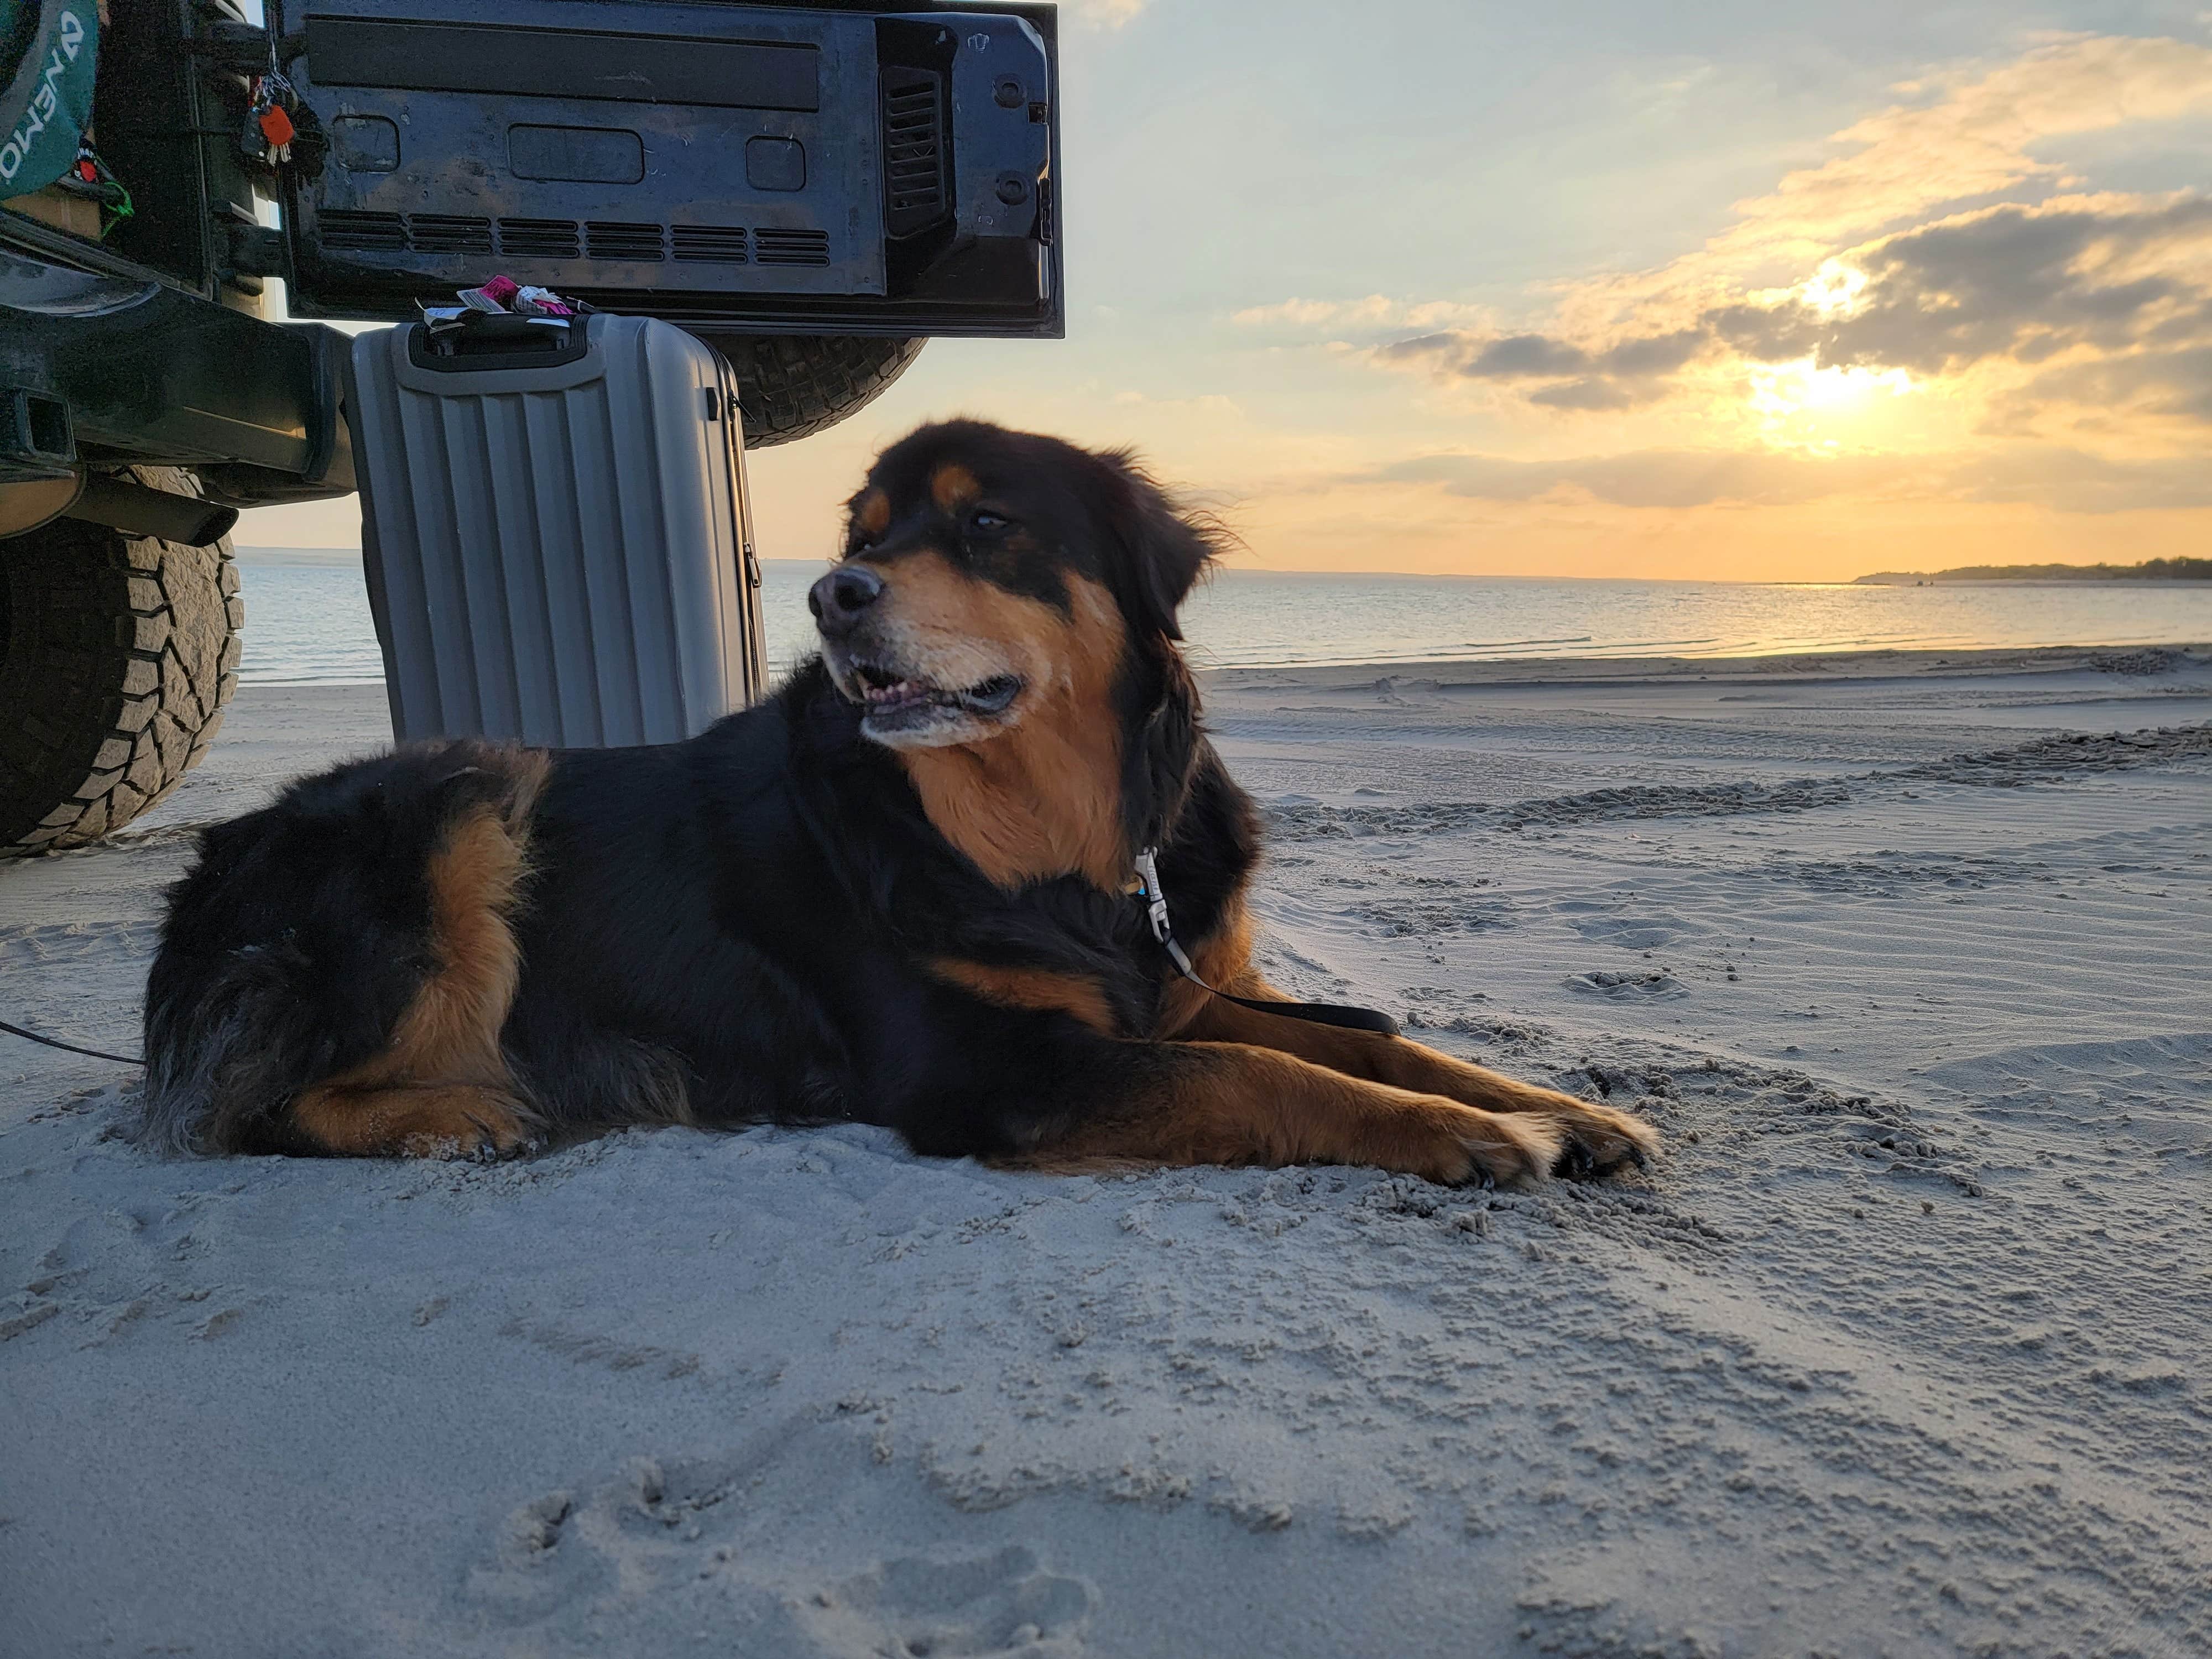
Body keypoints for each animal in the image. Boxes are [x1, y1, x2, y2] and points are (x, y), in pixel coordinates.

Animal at [138, 422, 1663, 1186]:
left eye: (984, 523)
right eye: (862, 535)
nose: (829, 594)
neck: (1038, 839)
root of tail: (206, 872)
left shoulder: (1160, 993)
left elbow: (1365, 1041)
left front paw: (1546, 1105)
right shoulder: (985, 1070)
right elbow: (1271, 1072)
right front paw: (1479, 1138)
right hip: (461, 801)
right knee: (260, 1107)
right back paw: (451, 1116)